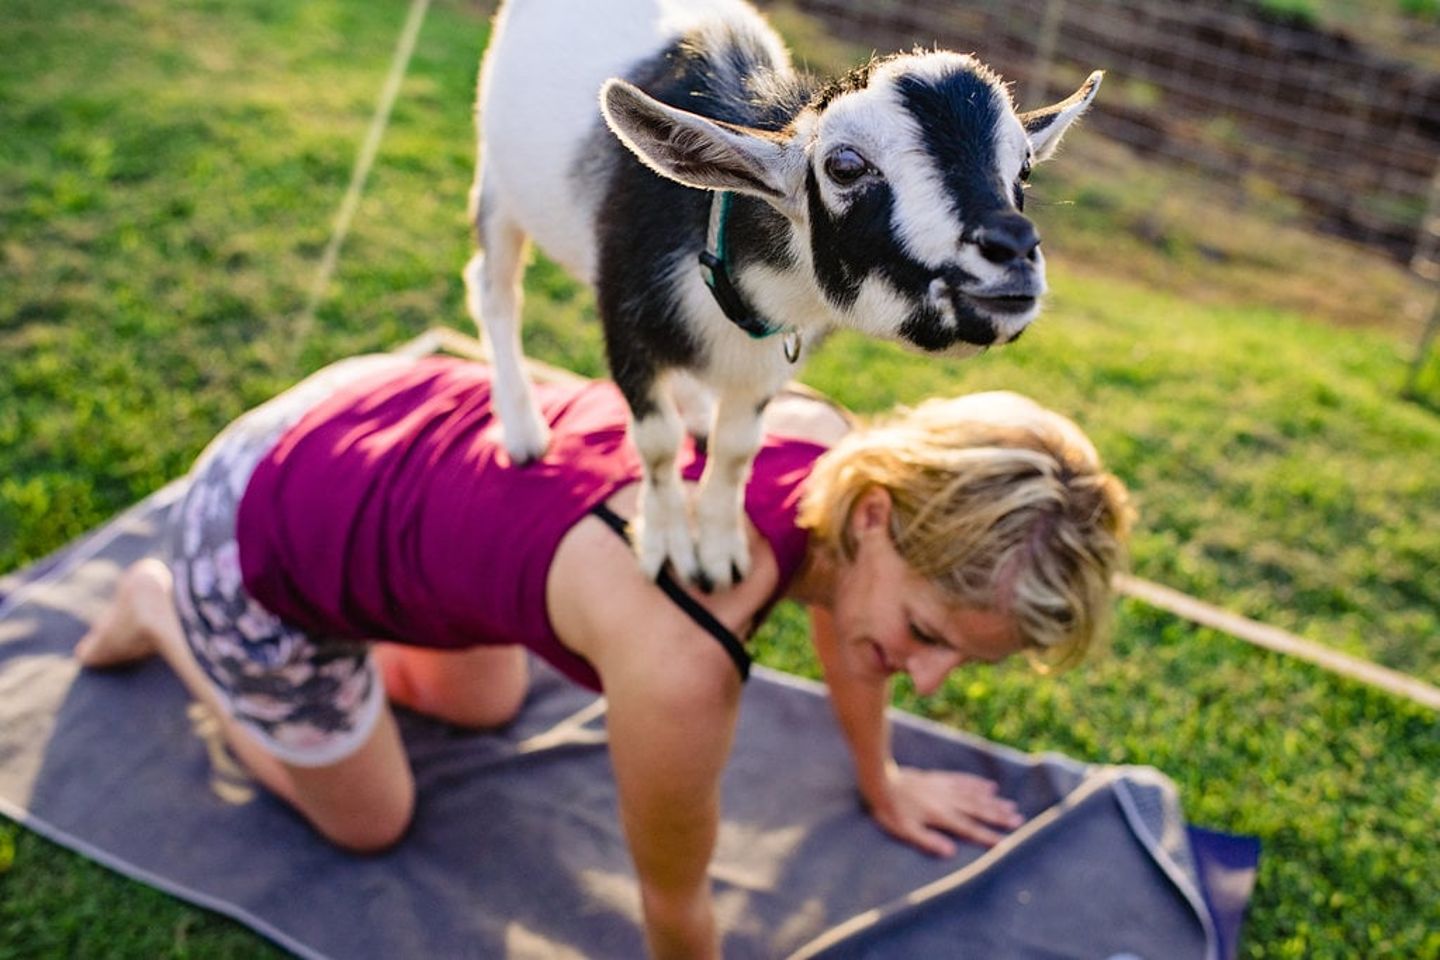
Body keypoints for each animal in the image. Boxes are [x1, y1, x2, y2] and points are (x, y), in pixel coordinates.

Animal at [465, 0, 1101, 590]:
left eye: (1024, 169)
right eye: (844, 165)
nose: (1014, 251)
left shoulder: (770, 363)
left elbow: (737, 449)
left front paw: (719, 553)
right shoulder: (624, 317)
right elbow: (659, 443)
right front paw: (668, 547)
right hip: (496, 181)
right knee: (494, 289)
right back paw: (523, 430)